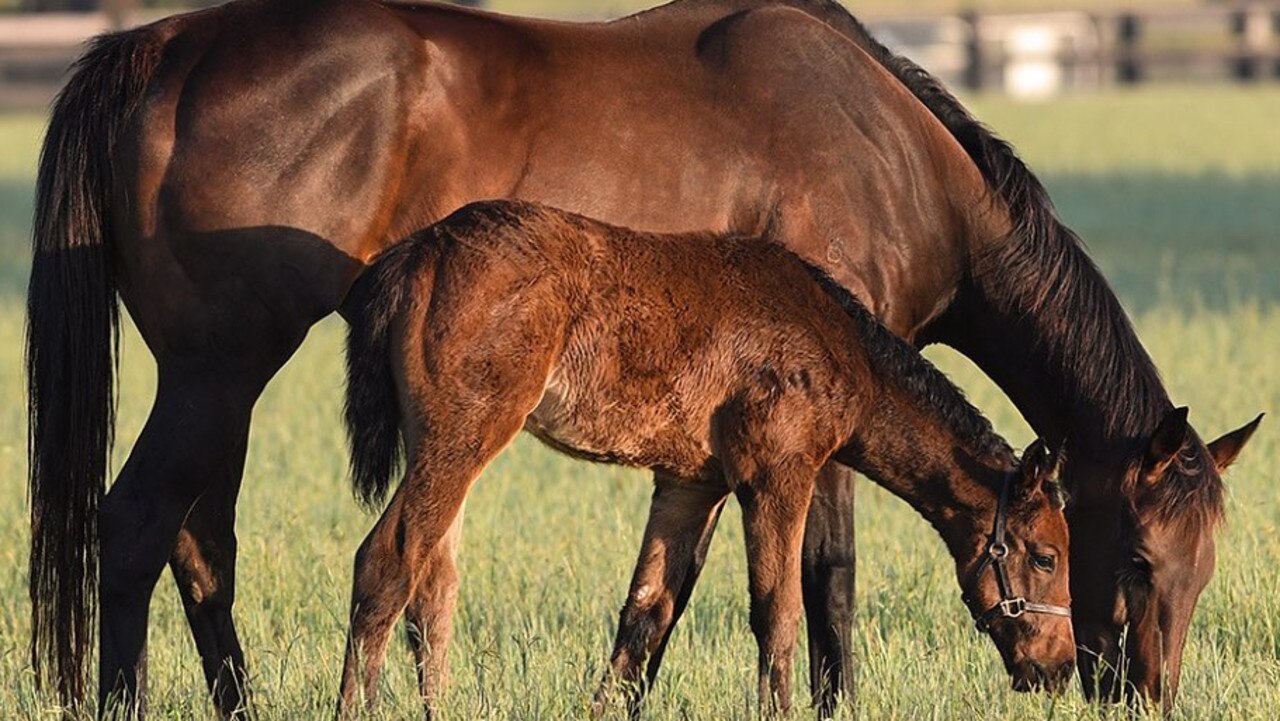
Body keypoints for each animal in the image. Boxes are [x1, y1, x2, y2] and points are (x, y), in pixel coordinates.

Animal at [337, 202, 1070, 717]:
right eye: (1045, 556)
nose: (1060, 669)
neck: (838, 338)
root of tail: (421, 251)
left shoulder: (691, 484)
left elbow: (645, 614)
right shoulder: (778, 476)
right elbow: (777, 615)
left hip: (446, 449)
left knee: (433, 587)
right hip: (463, 436)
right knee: (386, 563)